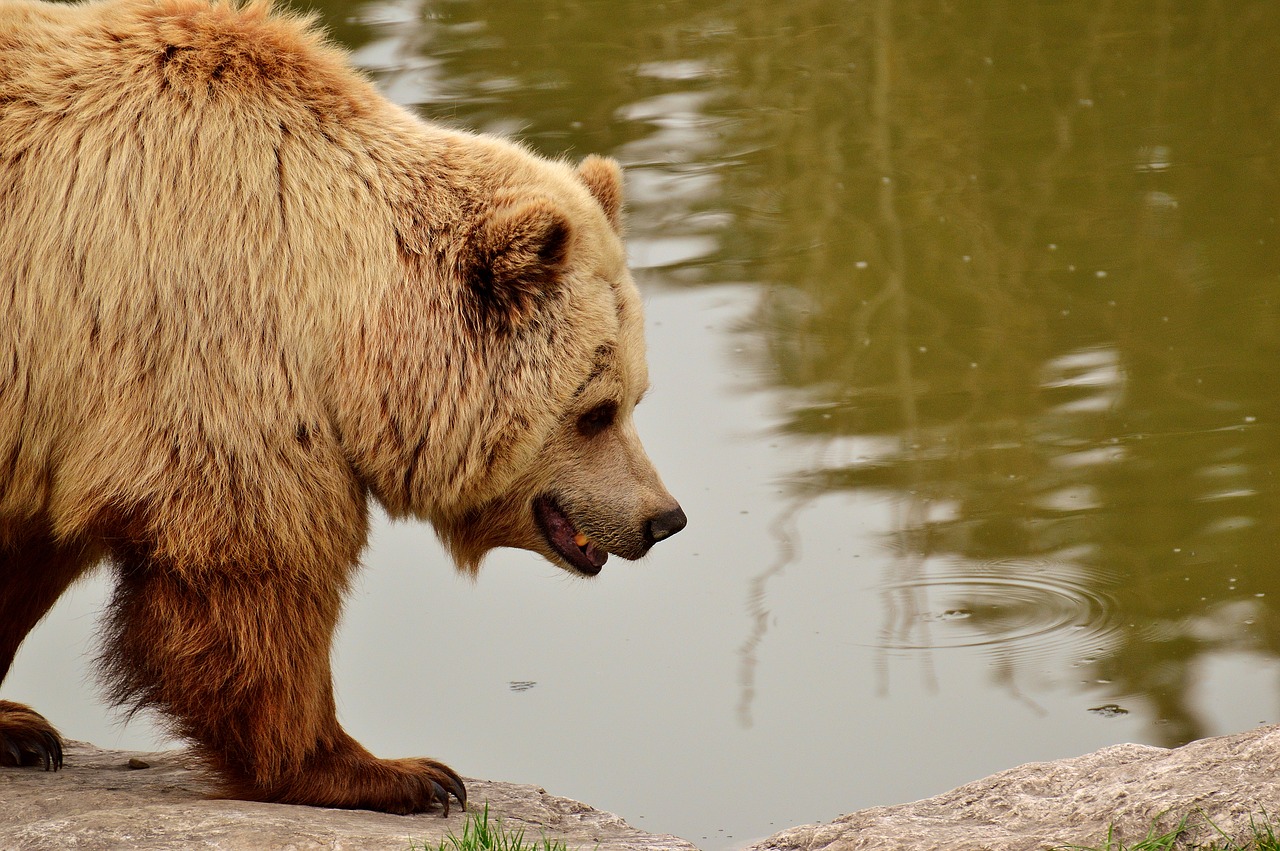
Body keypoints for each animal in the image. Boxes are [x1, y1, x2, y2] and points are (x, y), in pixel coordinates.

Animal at [0, 0, 686, 819]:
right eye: (596, 411)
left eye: (636, 396)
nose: (663, 517)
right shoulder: (200, 345)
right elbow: (253, 570)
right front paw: (396, 772)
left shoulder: (61, 408)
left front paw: (14, 726)